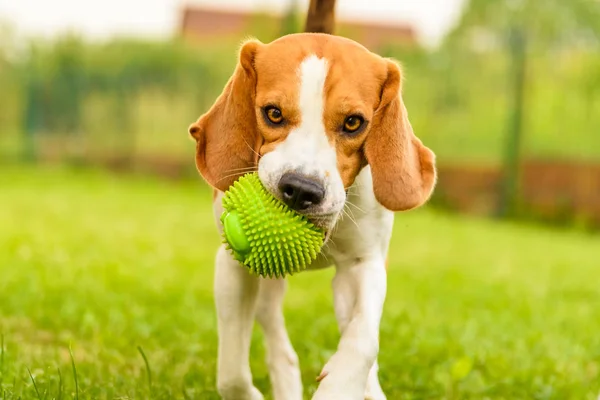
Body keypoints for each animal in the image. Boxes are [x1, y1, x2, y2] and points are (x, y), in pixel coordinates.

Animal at [188, 33, 436, 400]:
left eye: (353, 122)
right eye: (273, 113)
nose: (301, 189)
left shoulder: (364, 265)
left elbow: (364, 340)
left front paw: (341, 387)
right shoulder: (233, 266)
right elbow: (231, 372)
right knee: (278, 343)